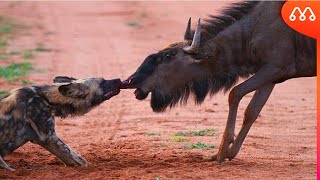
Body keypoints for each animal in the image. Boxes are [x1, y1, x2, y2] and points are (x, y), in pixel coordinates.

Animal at [122, 1, 316, 162]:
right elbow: (252, 111)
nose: (132, 79)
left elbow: (235, 93)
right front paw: (230, 152)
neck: (255, 27)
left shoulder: (274, 69)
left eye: (169, 56)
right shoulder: (271, 75)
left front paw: (222, 151)